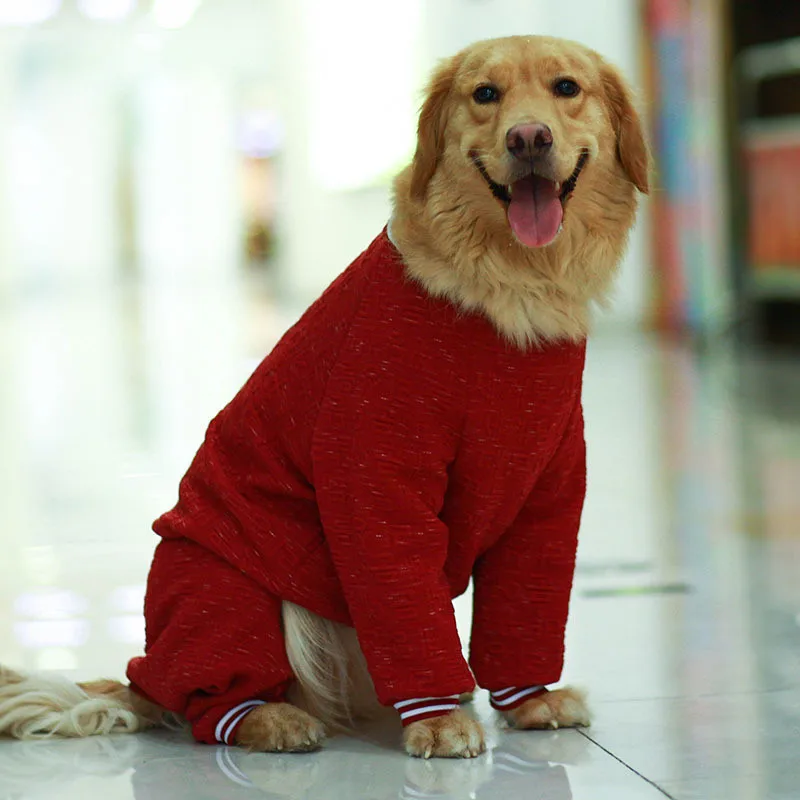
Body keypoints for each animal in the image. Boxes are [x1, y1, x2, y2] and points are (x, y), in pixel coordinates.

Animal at [0, 34, 648, 760]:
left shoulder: (548, 496)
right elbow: (405, 601)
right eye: (486, 94)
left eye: (567, 88)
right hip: (225, 588)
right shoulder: (375, 477)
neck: (506, 286)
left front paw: (529, 700)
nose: (528, 137)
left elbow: (525, 607)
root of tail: (144, 677)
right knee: (210, 705)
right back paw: (271, 717)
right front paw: (436, 720)